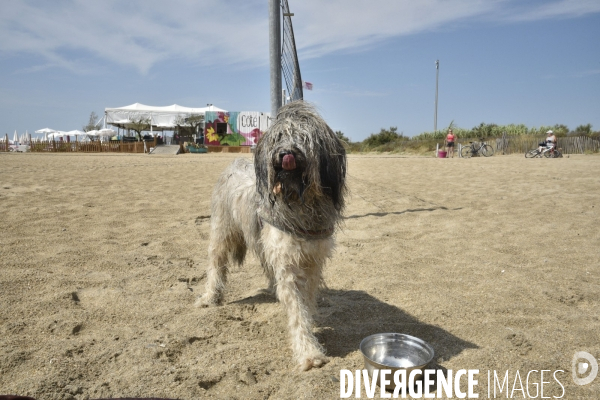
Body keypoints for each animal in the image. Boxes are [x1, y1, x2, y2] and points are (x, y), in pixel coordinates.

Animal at [197, 101, 346, 368]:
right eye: (278, 137)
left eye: (302, 137)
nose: (285, 153)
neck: (299, 201)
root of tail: (234, 162)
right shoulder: (287, 258)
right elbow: (297, 308)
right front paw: (308, 352)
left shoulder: (312, 259)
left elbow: (306, 298)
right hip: (222, 230)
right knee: (216, 263)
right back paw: (210, 296)